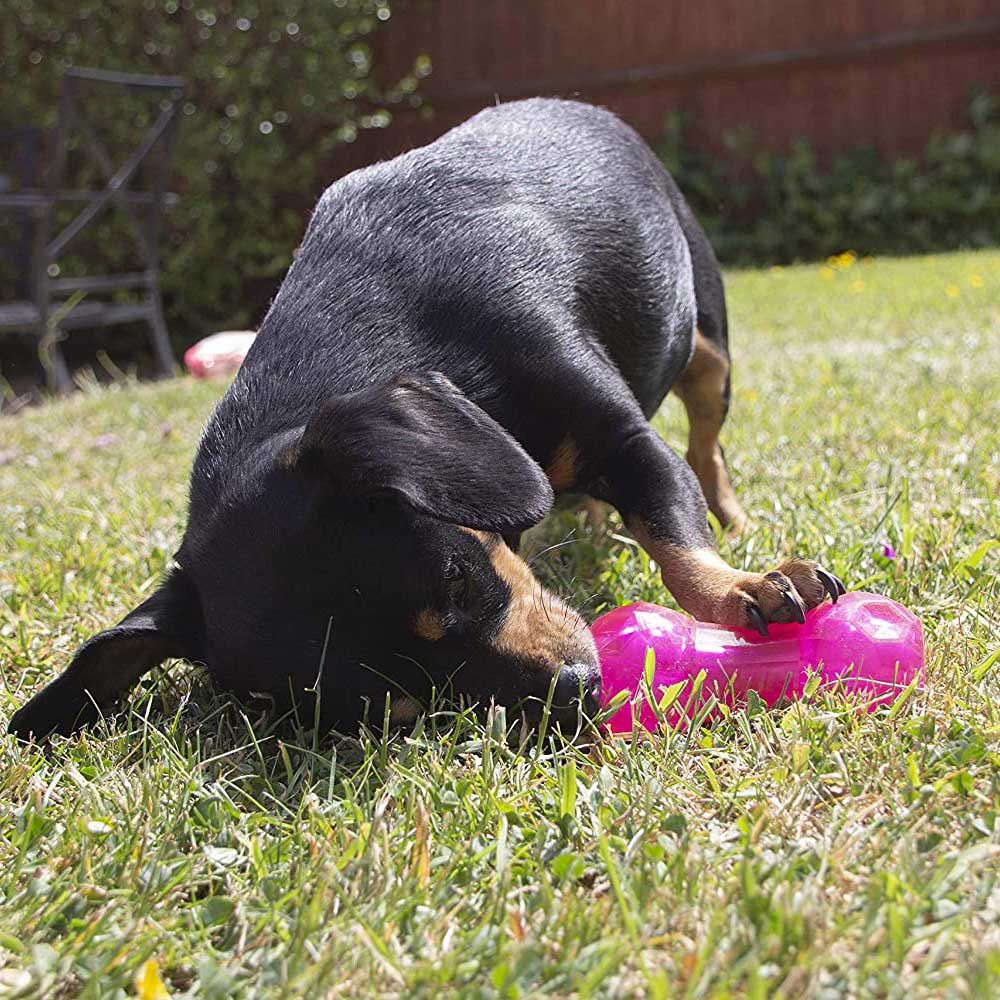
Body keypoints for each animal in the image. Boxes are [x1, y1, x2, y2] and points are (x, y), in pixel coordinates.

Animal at [11, 99, 844, 744]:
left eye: (455, 575)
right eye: (406, 710)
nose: (577, 694)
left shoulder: (627, 440)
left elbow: (674, 535)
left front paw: (744, 589)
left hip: (708, 341)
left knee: (705, 439)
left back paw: (729, 512)